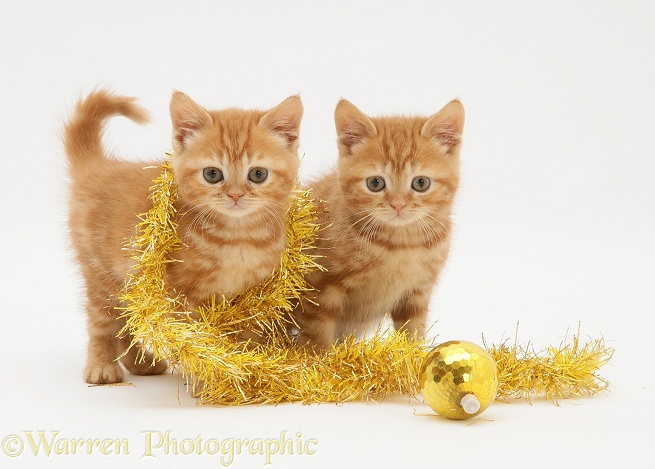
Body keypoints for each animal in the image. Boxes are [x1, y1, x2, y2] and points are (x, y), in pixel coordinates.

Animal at [66, 88, 302, 384]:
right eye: (212, 174)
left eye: (258, 174)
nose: (235, 195)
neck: (237, 239)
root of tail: (98, 167)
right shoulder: (181, 295)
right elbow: (197, 342)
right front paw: (209, 379)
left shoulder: (249, 296)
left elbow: (243, 337)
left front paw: (243, 374)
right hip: (101, 273)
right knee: (103, 321)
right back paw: (102, 367)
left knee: (129, 319)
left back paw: (141, 363)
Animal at [294, 98, 464, 348]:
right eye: (375, 183)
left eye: (421, 183)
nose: (398, 205)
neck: (401, 245)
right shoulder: (319, 289)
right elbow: (317, 340)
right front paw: (320, 358)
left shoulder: (416, 295)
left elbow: (412, 336)